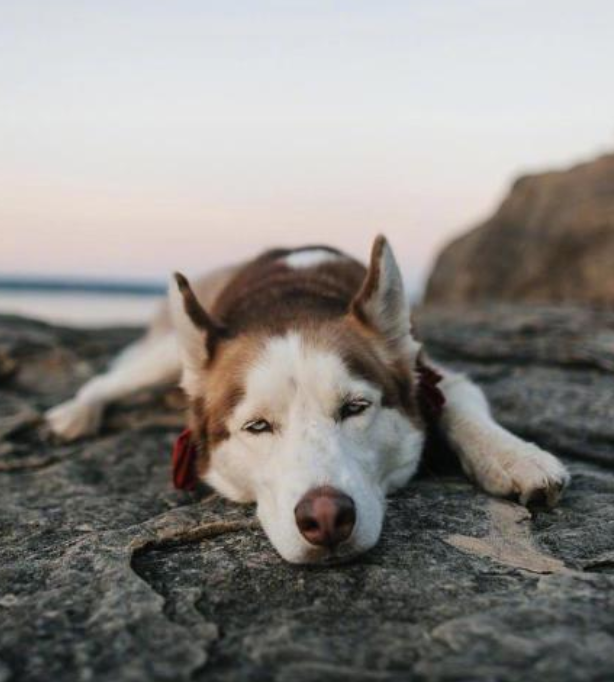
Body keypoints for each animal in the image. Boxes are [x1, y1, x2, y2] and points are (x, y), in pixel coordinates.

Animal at [44, 236, 572, 560]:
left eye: (355, 408)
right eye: (257, 426)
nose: (326, 518)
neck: (293, 299)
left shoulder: (432, 373)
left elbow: (461, 400)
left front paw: (516, 456)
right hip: (167, 354)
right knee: (110, 379)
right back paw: (73, 414)